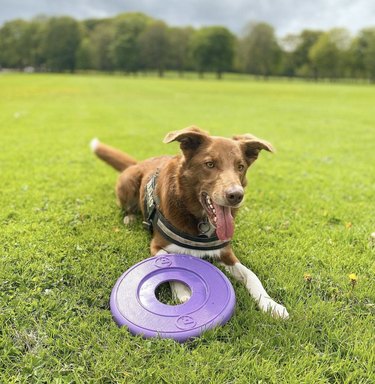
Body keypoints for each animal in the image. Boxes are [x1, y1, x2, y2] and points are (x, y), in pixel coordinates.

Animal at [92, 126, 290, 318]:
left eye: (240, 166)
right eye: (210, 164)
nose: (236, 195)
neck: (199, 219)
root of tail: (139, 163)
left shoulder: (226, 253)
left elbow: (251, 275)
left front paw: (271, 305)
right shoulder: (156, 245)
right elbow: (169, 265)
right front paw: (183, 293)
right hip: (128, 183)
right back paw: (130, 217)